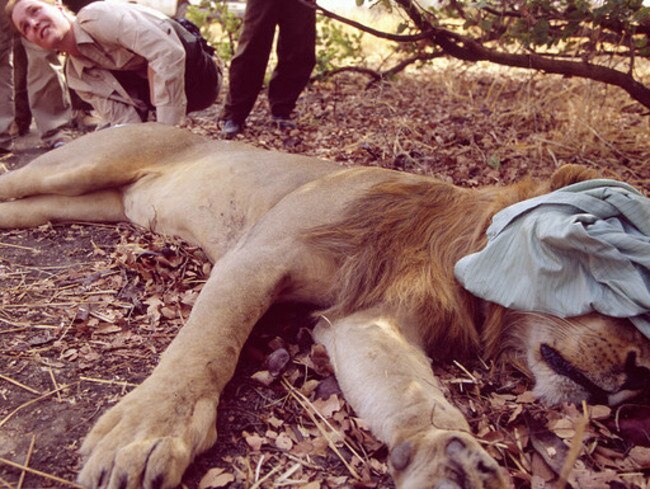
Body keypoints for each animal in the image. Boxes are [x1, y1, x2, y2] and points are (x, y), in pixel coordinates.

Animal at [0, 123, 644, 488]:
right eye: (618, 280)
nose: (641, 370)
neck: (452, 258)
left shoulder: (367, 322)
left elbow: (410, 395)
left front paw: (445, 456)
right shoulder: (260, 255)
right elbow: (205, 347)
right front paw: (147, 434)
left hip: (92, 202)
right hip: (82, 164)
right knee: (18, 177)